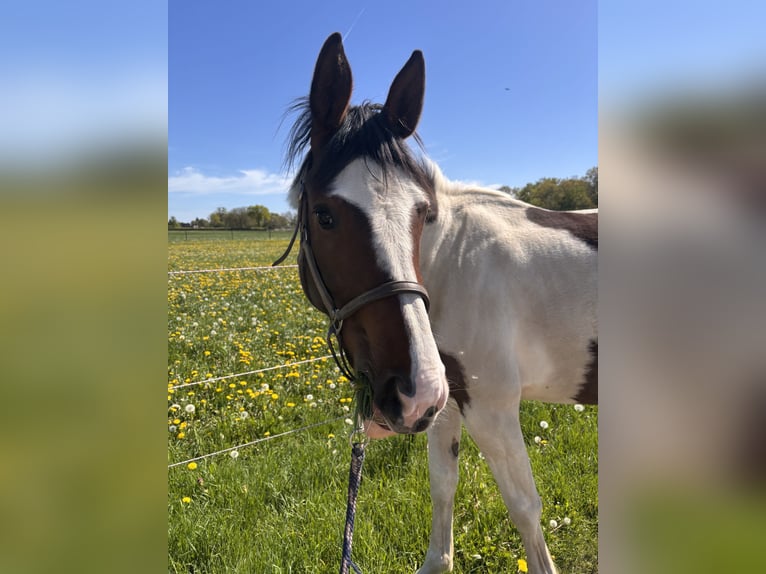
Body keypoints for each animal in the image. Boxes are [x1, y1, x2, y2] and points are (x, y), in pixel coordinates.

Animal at [278, 32, 597, 574]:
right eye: (323, 215)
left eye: (423, 213)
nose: (412, 388)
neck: (457, 264)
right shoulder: (444, 403)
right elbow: (443, 487)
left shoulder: (492, 408)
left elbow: (525, 509)